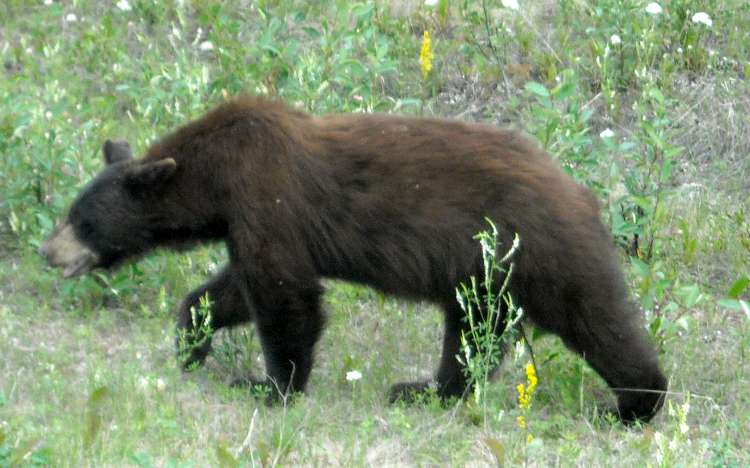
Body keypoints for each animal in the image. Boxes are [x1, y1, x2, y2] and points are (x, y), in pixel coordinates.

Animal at [39, 95, 667, 424]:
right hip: (484, 273)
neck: (215, 174)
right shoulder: (248, 220)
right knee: (474, 331)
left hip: (542, 253)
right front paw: (192, 344)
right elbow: (236, 287)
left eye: (82, 220)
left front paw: (268, 386)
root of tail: (583, 193)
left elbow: (285, 295)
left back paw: (636, 403)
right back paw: (424, 390)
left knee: (597, 320)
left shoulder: (267, 198)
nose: (47, 251)